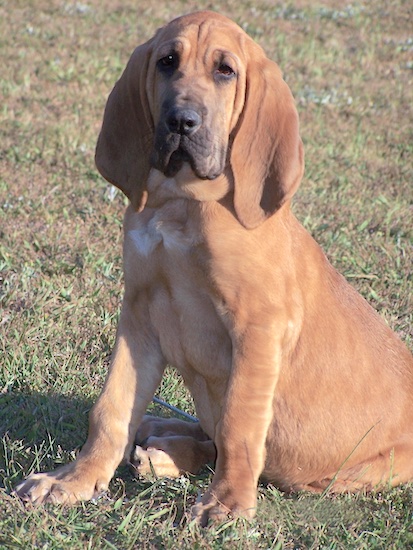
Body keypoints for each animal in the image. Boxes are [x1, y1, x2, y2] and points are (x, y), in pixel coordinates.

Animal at [15, 10, 412, 524]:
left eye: (226, 71)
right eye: (167, 61)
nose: (181, 121)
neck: (182, 201)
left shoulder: (258, 327)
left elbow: (240, 427)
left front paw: (226, 502)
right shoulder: (138, 313)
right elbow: (111, 407)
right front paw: (73, 479)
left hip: (346, 475)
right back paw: (158, 436)